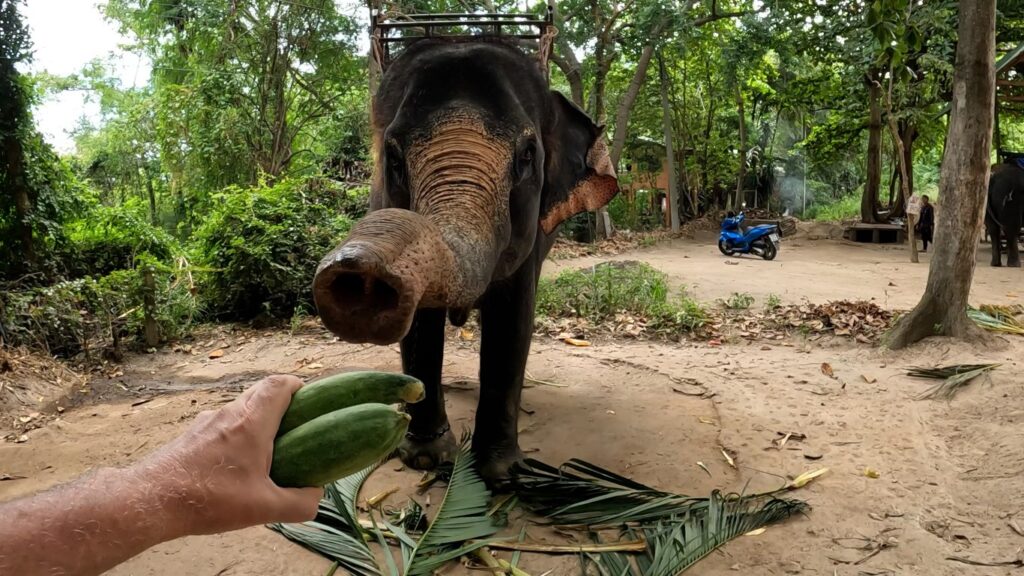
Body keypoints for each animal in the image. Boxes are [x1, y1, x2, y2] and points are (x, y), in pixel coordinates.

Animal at [309, 38, 614, 481]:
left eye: (527, 155)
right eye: (393, 158)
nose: (356, 269)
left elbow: (512, 319)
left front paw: (502, 474)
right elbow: (420, 324)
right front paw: (426, 458)